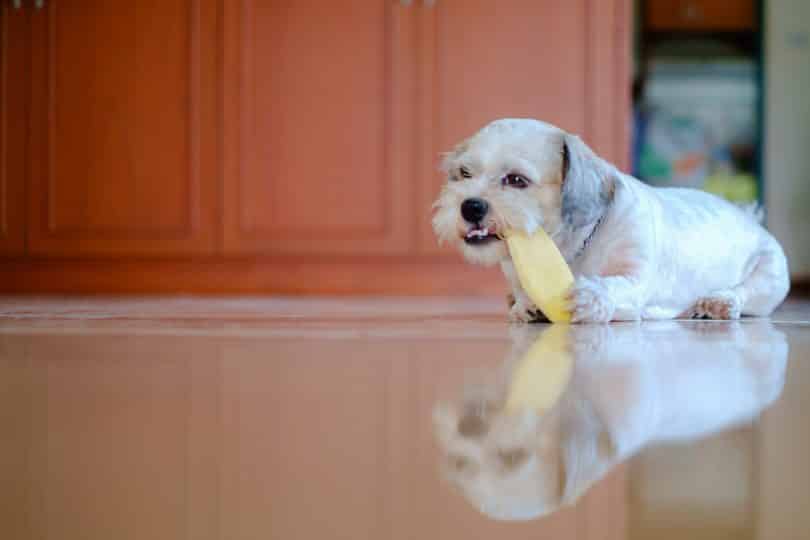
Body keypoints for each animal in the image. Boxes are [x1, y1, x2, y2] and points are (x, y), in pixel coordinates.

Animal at [432, 118, 784, 320]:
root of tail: (749, 216)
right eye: (464, 173)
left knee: (745, 294)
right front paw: (525, 304)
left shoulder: (636, 276)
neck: (571, 247)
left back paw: (719, 302)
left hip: (769, 278)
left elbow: (615, 285)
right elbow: (521, 293)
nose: (470, 206)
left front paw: (591, 296)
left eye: (517, 180)